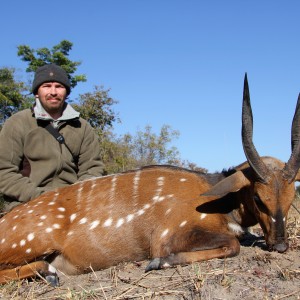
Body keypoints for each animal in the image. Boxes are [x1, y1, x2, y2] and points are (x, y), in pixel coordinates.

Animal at [0, 75, 300, 286]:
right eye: (258, 198)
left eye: (290, 197)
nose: (281, 245)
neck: (217, 198)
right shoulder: (169, 236)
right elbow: (232, 245)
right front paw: (157, 263)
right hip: (33, 242)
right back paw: (48, 272)